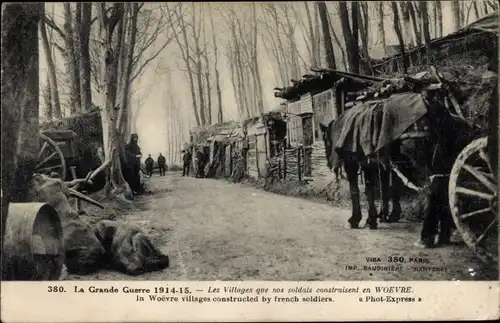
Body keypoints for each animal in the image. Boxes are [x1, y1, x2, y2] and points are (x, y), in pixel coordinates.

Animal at [318, 89, 478, 235]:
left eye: (325, 141)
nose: (328, 163)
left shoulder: (354, 163)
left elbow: (358, 190)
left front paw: (357, 219)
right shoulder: (376, 164)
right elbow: (381, 189)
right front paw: (379, 216)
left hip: (421, 162)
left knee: (432, 188)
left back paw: (428, 235)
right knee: (445, 185)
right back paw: (444, 231)